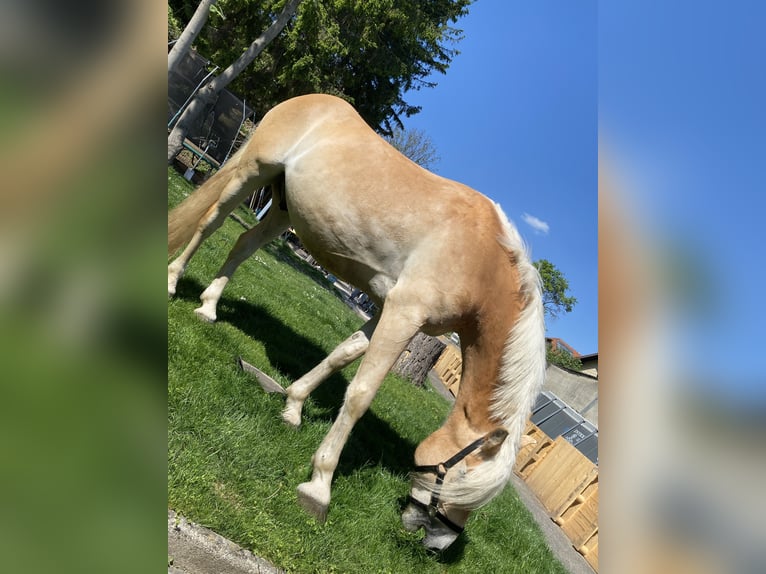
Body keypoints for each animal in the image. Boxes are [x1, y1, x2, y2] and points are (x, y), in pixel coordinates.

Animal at [168, 94, 544, 552]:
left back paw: (209, 307)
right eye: (459, 479)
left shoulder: (387, 312)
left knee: (244, 244)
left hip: (284, 209)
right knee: (211, 222)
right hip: (252, 170)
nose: (437, 546)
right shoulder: (403, 313)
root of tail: (311, 99)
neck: (480, 260)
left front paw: (293, 406)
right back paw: (174, 282)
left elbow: (342, 354)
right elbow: (361, 395)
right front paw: (318, 486)